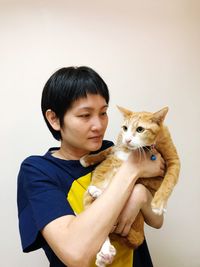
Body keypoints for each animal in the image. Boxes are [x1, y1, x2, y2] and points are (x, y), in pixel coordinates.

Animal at [80, 105, 180, 266]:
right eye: (125, 128)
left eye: (140, 129)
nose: (127, 140)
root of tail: (139, 234)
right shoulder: (117, 146)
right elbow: (106, 150)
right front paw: (87, 159)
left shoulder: (174, 160)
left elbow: (169, 181)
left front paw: (159, 204)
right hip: (93, 203)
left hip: (136, 186)